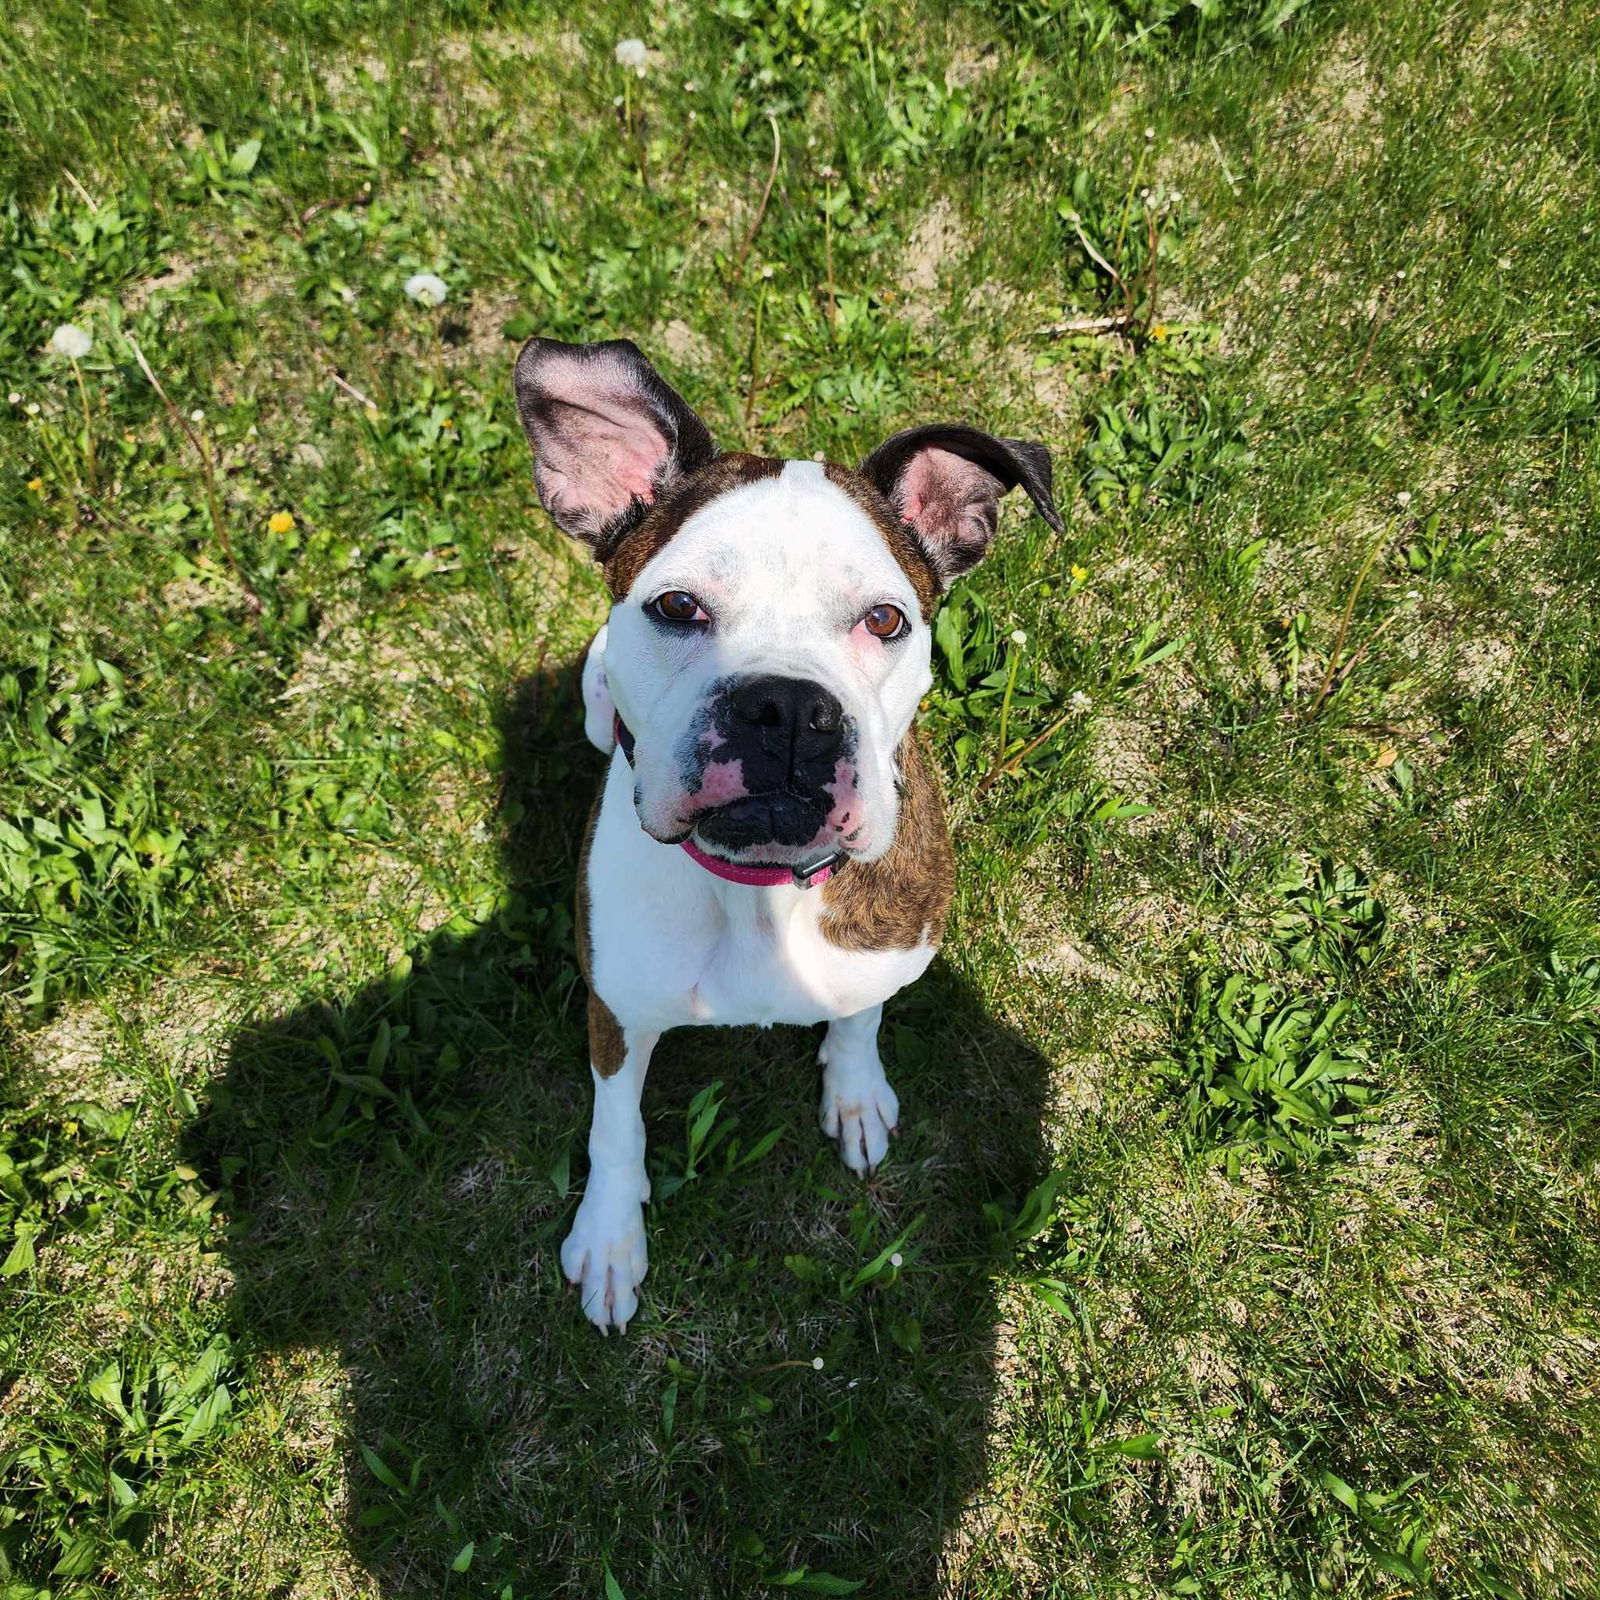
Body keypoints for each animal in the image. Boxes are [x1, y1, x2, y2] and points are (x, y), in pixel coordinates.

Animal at [515, 334, 1062, 1324]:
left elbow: (861, 1015)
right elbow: (615, 1125)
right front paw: (611, 1233)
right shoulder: (616, 1011)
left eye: (885, 619)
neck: (758, 886)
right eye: (677, 607)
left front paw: (854, 1090)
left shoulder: (885, 950)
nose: (785, 707)